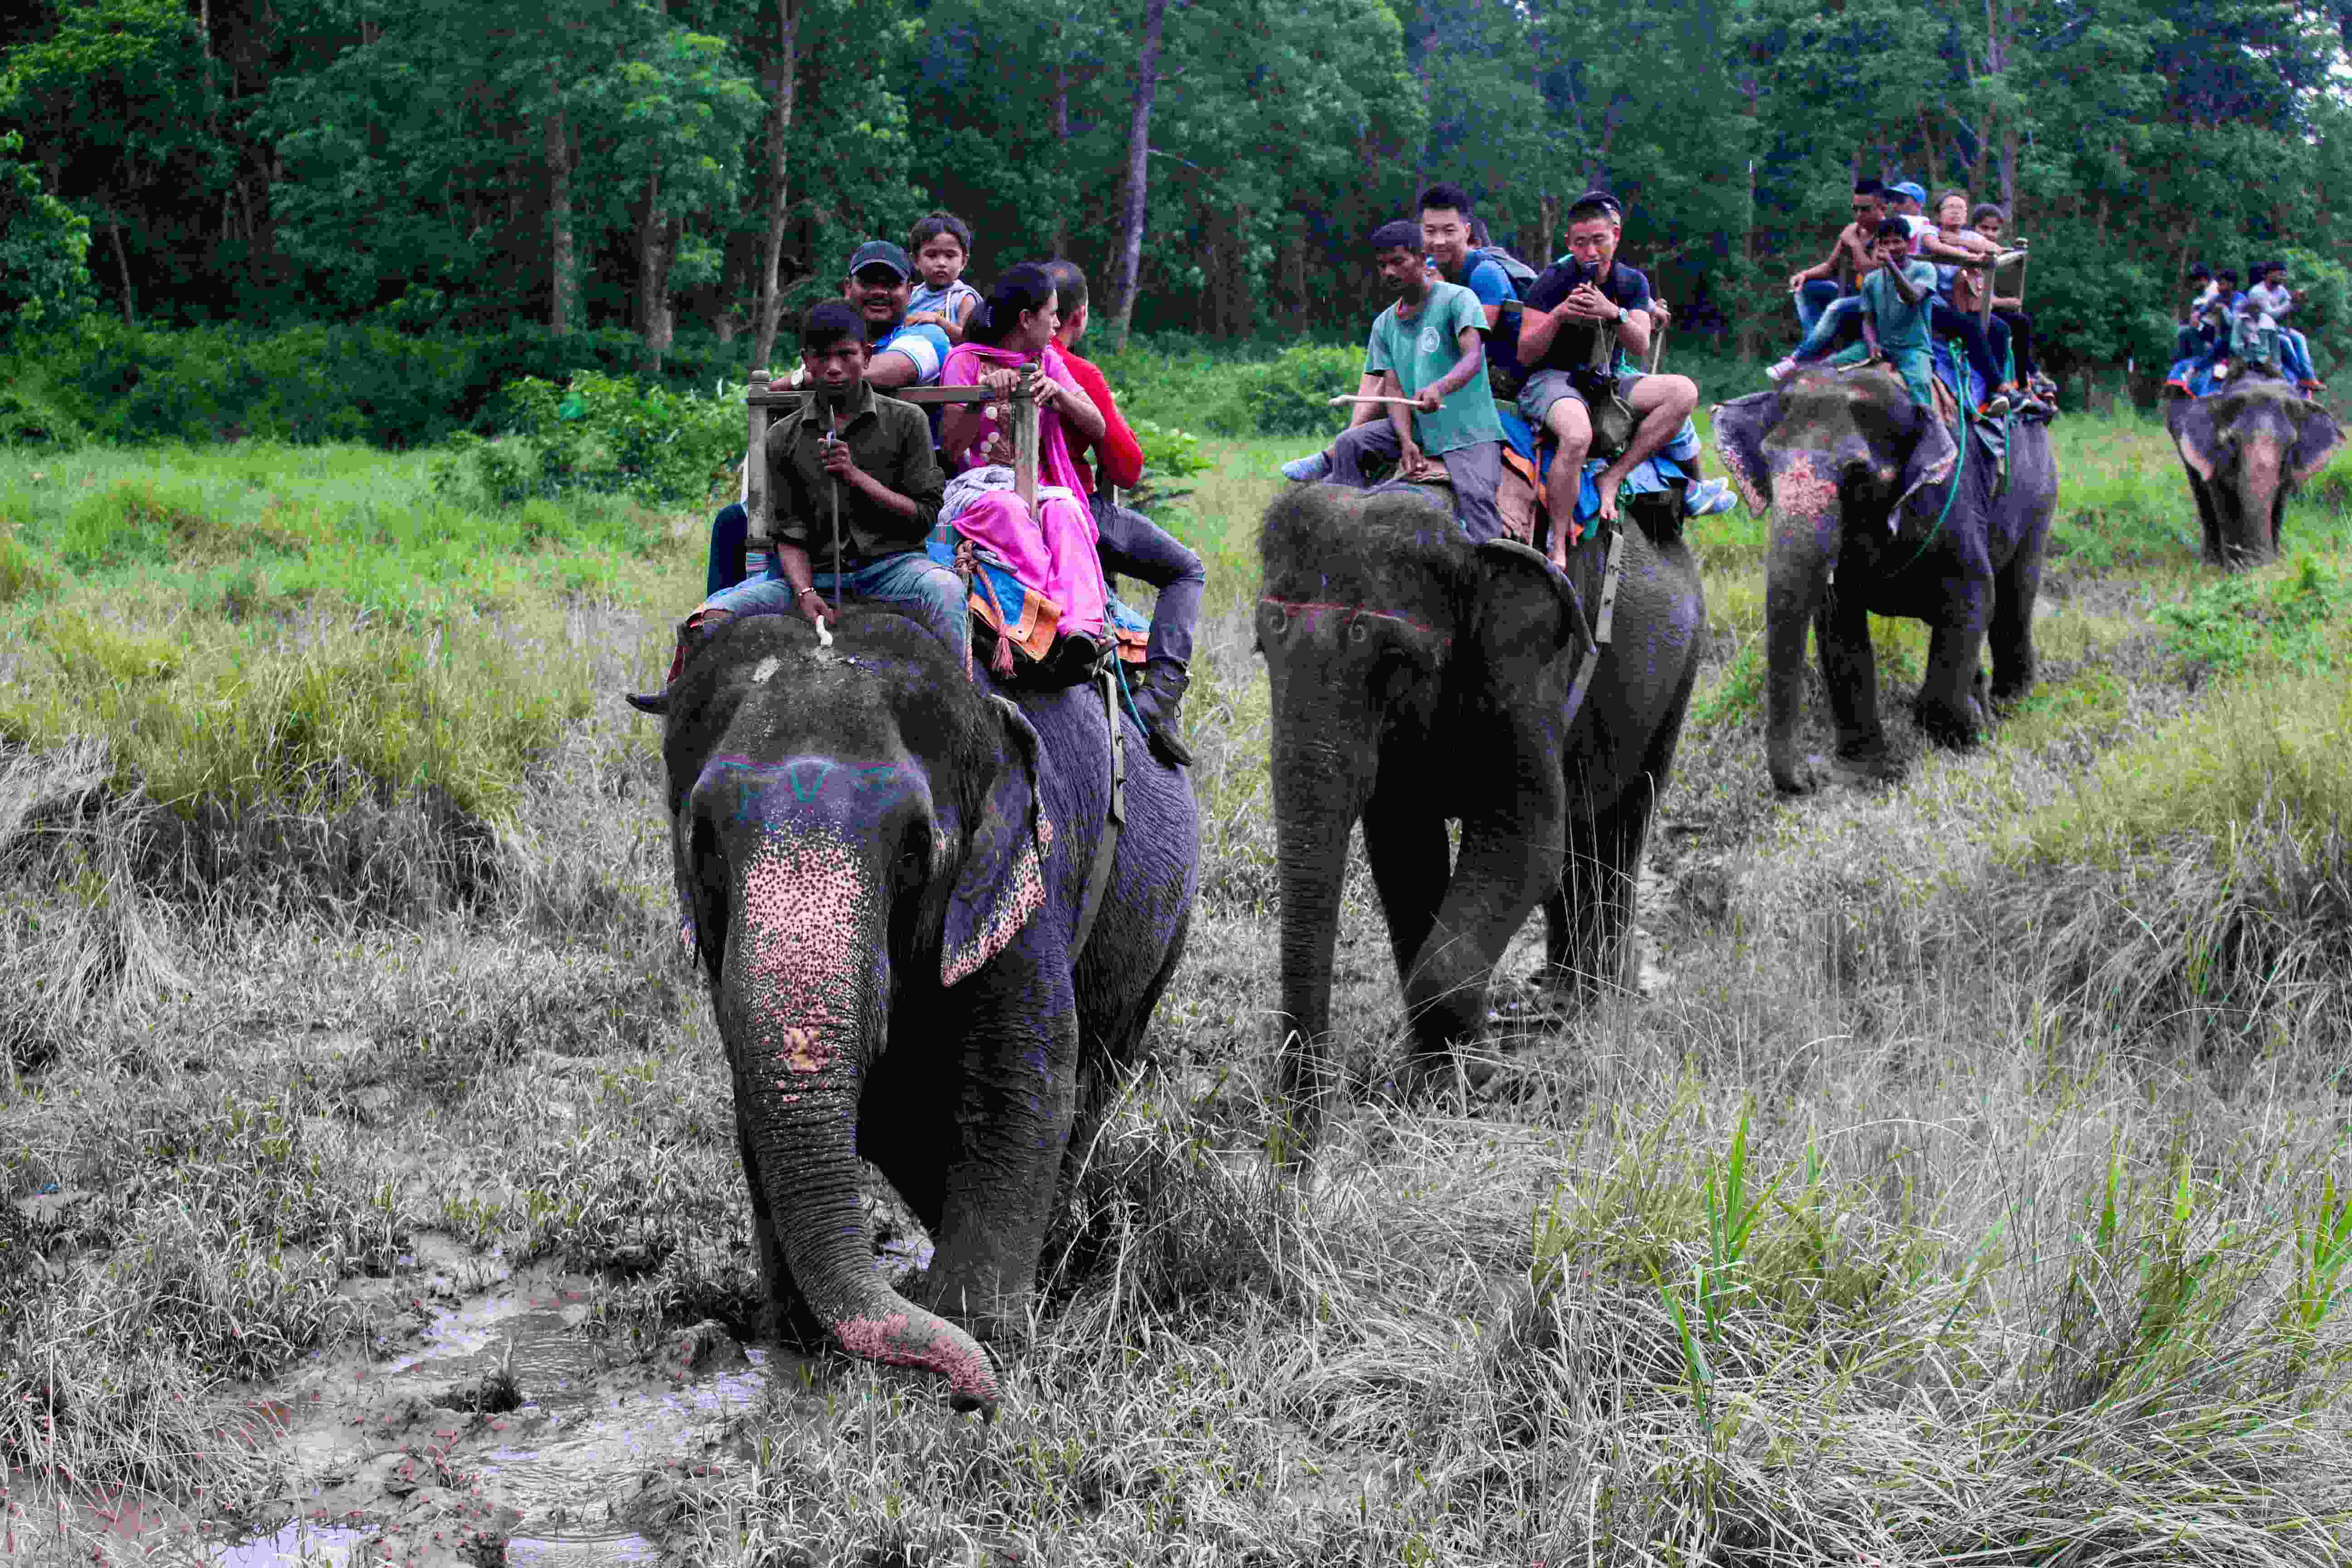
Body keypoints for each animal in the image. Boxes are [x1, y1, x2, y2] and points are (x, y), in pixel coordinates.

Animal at [654, 606, 1195, 1420]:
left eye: (915, 848)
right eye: (706, 842)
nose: (971, 1400)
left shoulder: (1021, 875)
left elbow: (1018, 1084)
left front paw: (981, 1330)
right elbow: (778, 1101)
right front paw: (795, 1343)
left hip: (1161, 935)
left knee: (1096, 1077)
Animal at [1260, 480, 1703, 1142]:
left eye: (1393, 658)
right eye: (1263, 646)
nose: (1296, 1158)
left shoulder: (1528, 671)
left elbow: (1527, 839)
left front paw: (1479, 1083)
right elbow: (1403, 851)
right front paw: (1433, 1079)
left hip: (1680, 673)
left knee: (1622, 824)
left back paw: (1601, 1003)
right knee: (1581, 842)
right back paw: (1560, 1003)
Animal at [1712, 362, 2060, 789]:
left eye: (1859, 474)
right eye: (1767, 459)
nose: (1807, 779)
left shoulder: (1952, 502)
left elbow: (1975, 594)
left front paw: (1968, 731)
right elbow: (1838, 625)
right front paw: (1862, 772)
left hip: (2041, 495)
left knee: (2014, 599)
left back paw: (2010, 702)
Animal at [2154, 381, 2342, 571]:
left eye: (2291, 444)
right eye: (2231, 441)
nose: (2264, 564)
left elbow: (2278, 505)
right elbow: (2225, 505)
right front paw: (2236, 570)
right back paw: (2211, 562)